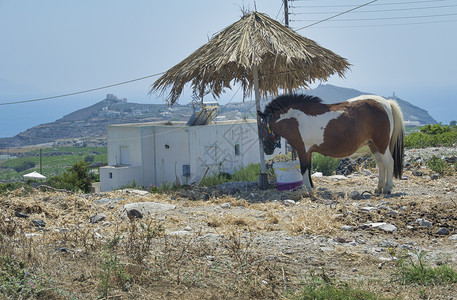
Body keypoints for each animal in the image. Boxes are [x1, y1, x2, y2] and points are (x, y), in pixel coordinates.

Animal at [258, 94, 404, 196]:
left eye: (261, 128)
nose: (266, 150)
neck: (294, 118)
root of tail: (386, 103)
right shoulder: (308, 151)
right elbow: (309, 169)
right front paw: (312, 187)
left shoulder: (302, 150)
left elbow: (304, 169)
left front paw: (307, 190)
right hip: (373, 145)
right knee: (381, 165)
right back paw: (378, 188)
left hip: (382, 145)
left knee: (389, 163)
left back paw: (387, 188)